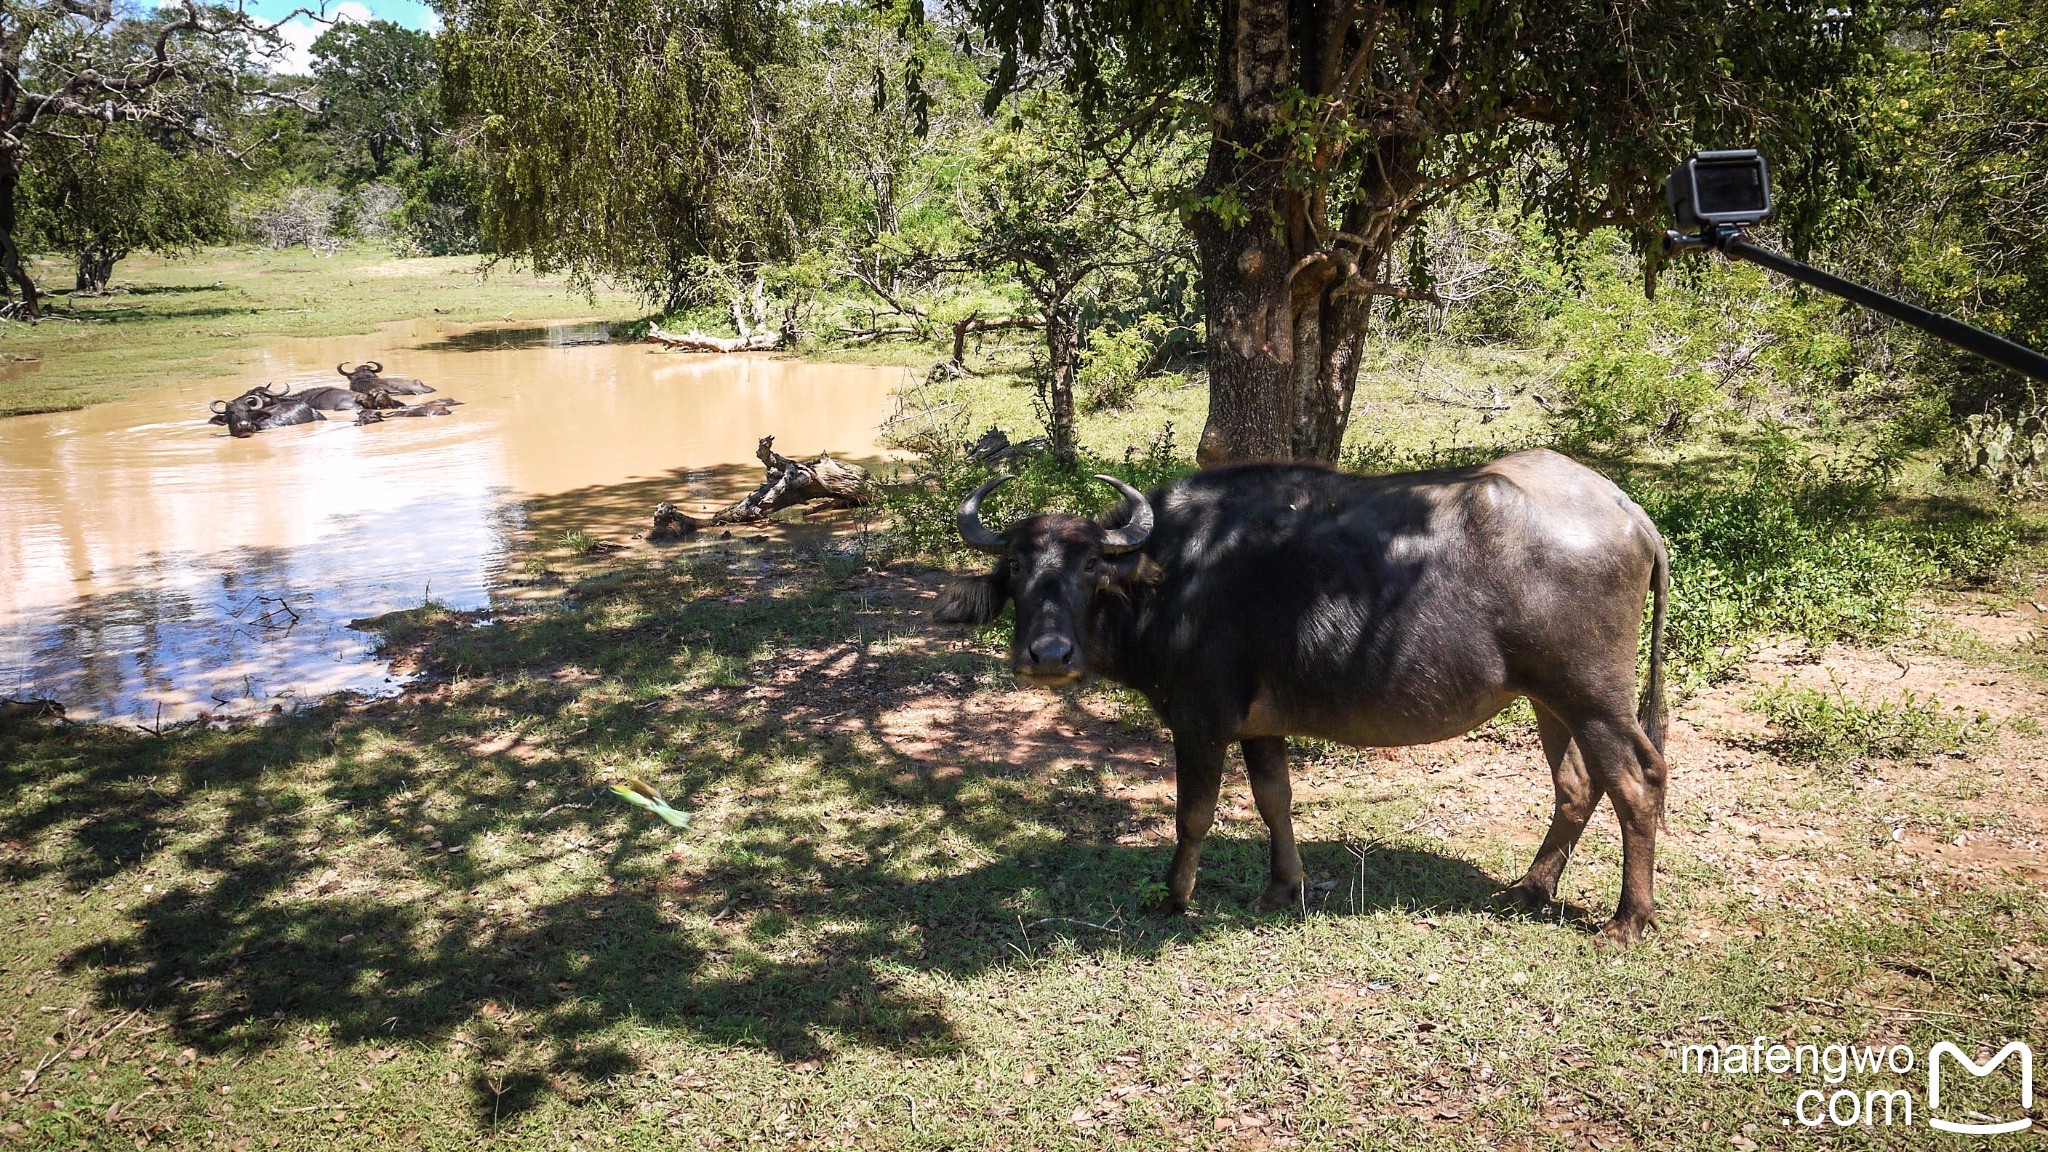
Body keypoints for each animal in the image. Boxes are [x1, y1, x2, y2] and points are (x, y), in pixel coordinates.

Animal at [937, 448, 1671, 942]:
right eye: (1015, 567)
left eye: (1091, 564)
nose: (1048, 656)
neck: (1172, 576)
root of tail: (1627, 510)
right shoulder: (1262, 725)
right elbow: (1273, 800)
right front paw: (1282, 888)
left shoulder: (1199, 721)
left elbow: (1194, 813)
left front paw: (1175, 897)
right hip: (1548, 698)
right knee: (1577, 784)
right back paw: (1531, 888)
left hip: (1594, 696)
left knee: (1637, 783)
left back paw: (1627, 920)